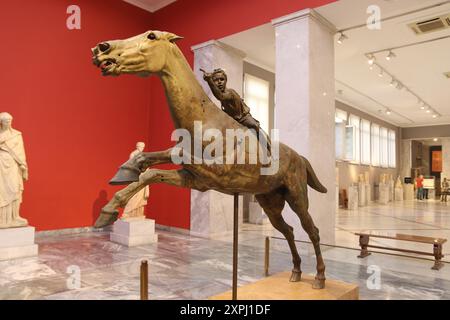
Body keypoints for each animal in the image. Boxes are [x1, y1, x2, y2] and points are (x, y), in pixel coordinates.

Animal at [93, 30, 328, 290]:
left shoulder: (218, 174)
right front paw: (113, 198)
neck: (208, 122)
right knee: (288, 230)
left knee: (312, 230)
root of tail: (300, 157)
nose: (101, 48)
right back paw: (295, 272)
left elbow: (174, 155)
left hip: (297, 197)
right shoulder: (195, 180)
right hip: (270, 202)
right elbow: (153, 170)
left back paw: (319, 278)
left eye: (151, 35)